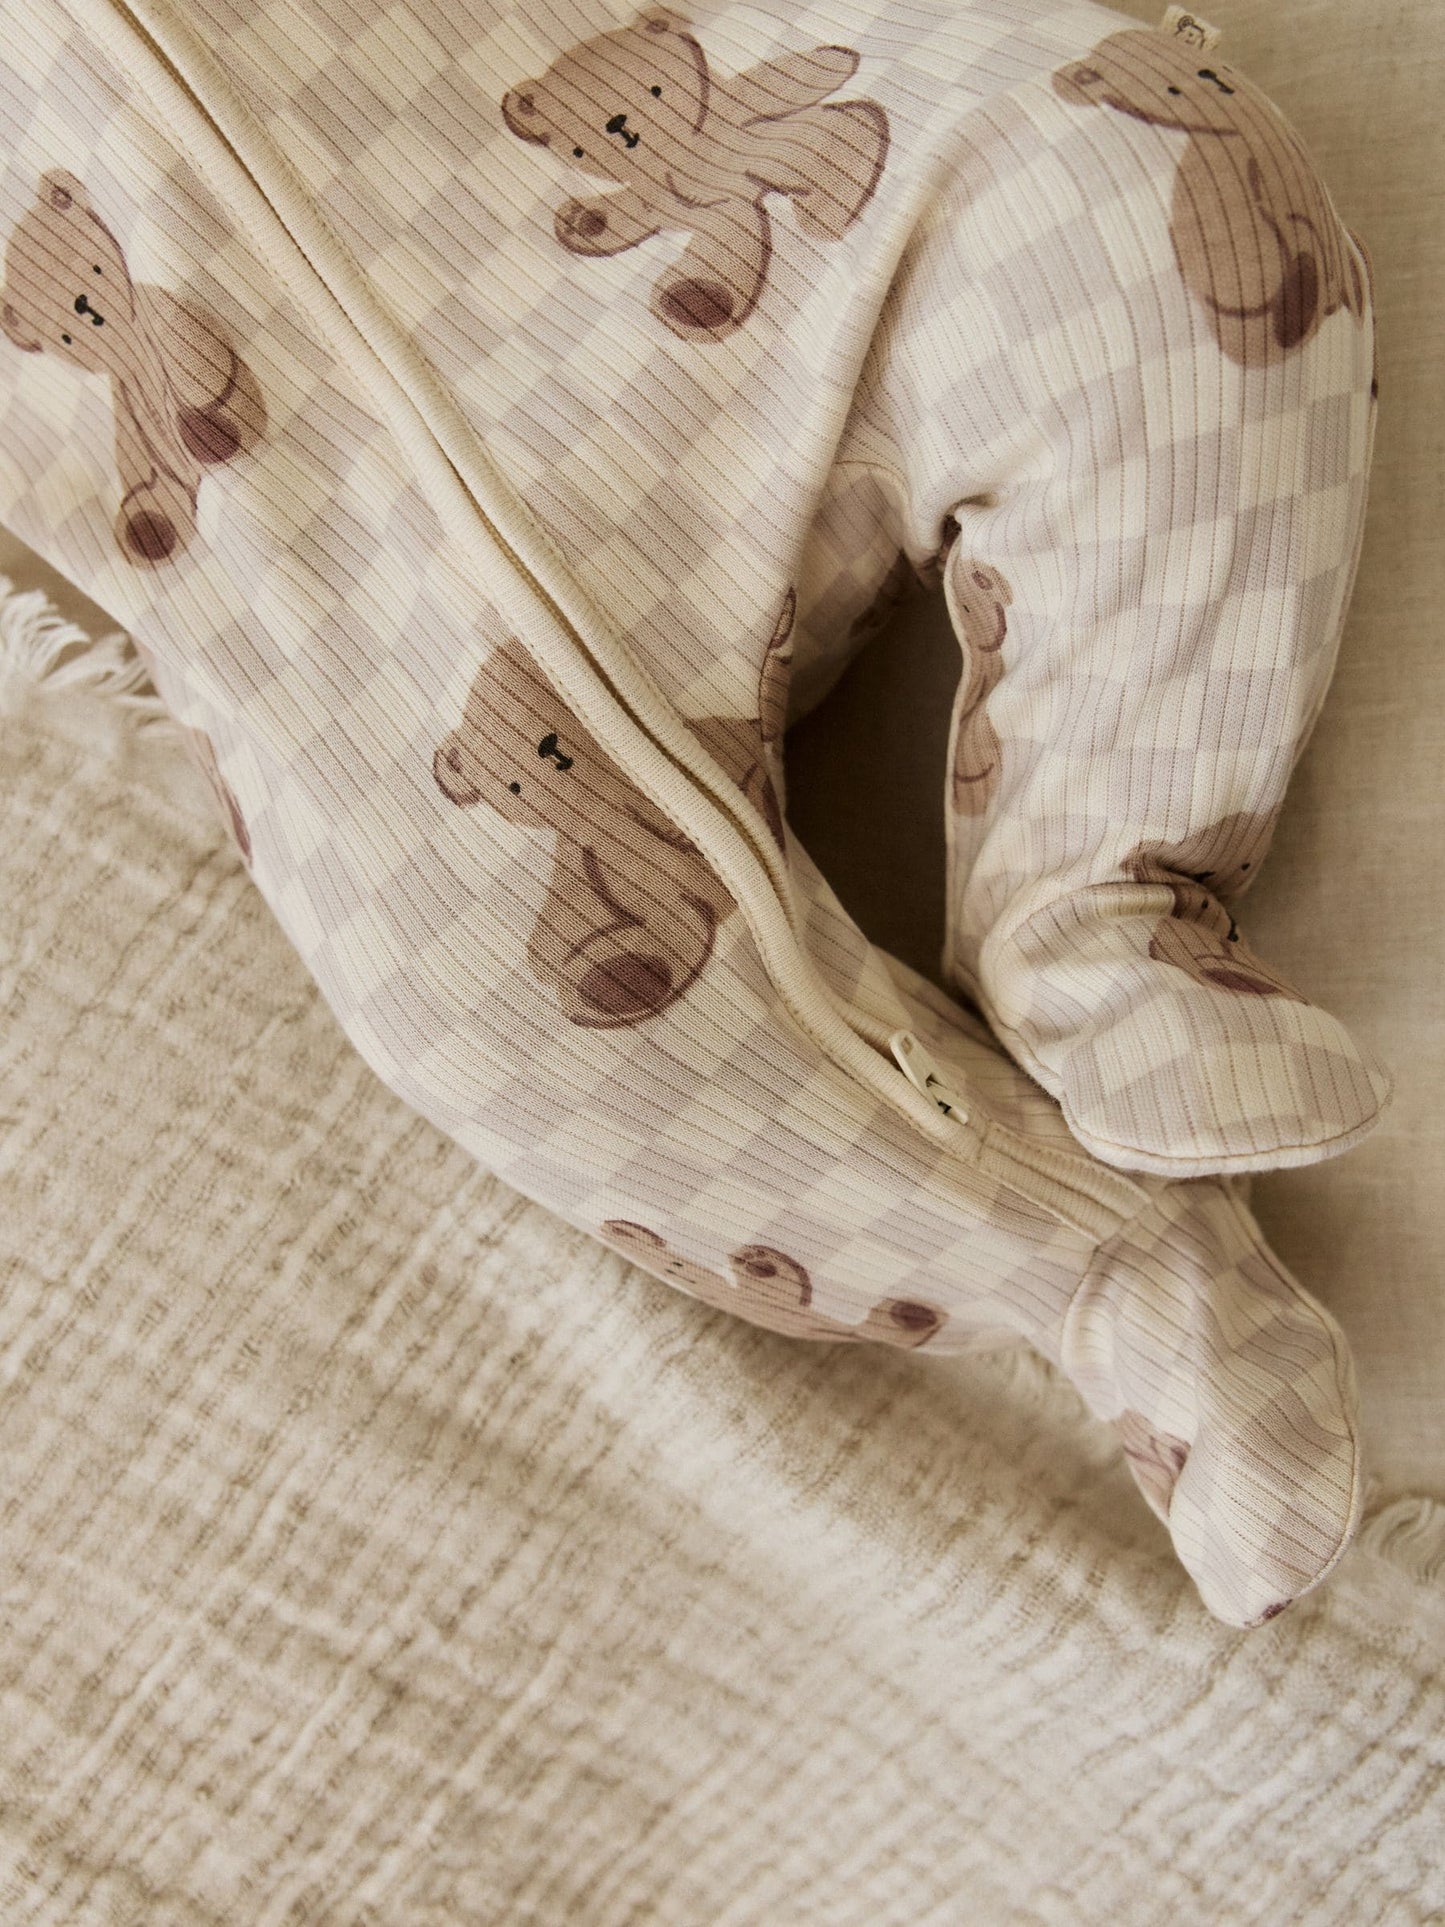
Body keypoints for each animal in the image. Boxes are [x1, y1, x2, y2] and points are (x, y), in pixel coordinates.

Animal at [0, 170, 266, 567]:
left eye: (96, 268)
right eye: (65, 338)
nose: (85, 307)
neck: (128, 347)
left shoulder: (171, 321)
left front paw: (198, 426)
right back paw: (150, 529)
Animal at [501, 8, 889, 342]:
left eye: (657, 89)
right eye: (578, 151)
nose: (618, 123)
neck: (677, 153)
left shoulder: (736, 112)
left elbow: (779, 83)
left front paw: (833, 61)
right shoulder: (646, 195)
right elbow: (620, 215)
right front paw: (585, 221)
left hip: (790, 150)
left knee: (834, 138)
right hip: (728, 220)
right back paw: (688, 301)